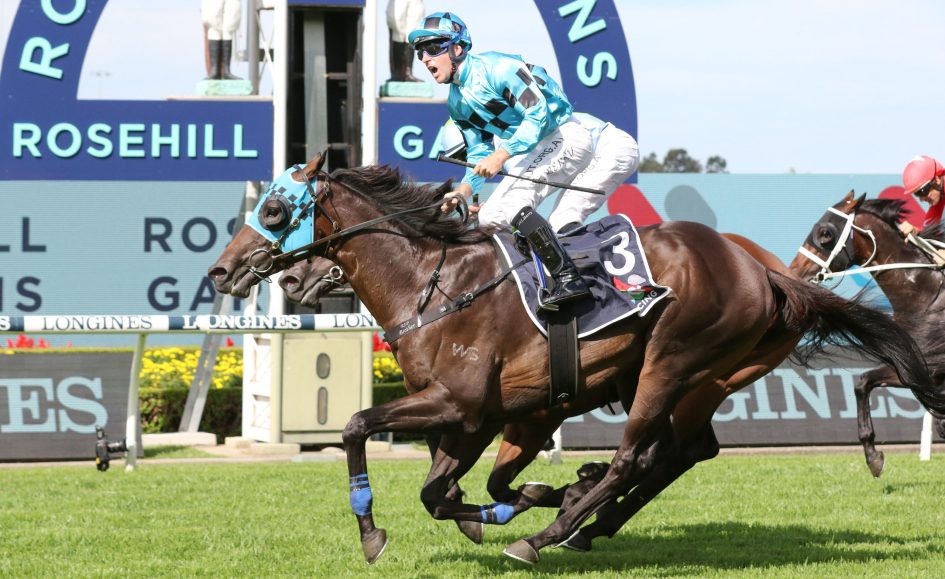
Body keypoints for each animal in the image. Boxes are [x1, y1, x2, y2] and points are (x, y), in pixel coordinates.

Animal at [789, 191, 945, 477]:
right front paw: (873, 456)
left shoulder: (932, 365)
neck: (925, 296)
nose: (794, 272)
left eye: (825, 233)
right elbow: (862, 383)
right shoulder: (912, 366)